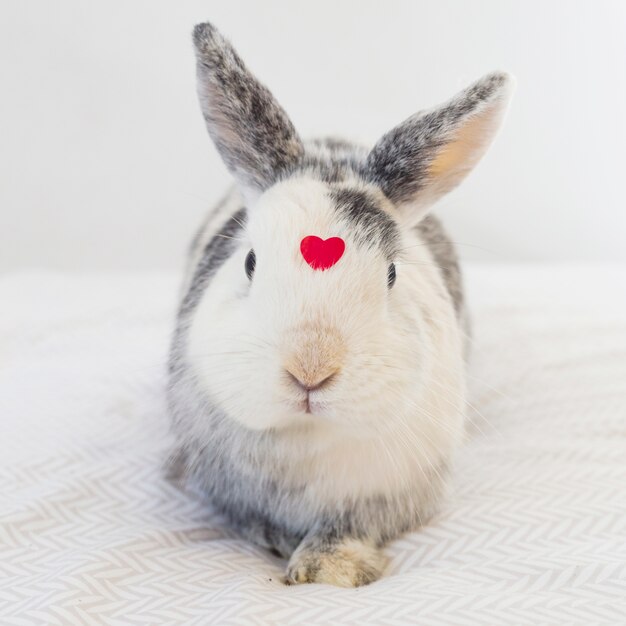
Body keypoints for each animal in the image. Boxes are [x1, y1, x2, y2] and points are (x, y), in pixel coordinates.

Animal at [167, 20, 512, 584]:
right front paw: (284, 544)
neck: (309, 434)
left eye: (392, 273)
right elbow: (251, 522)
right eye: (250, 262)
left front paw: (330, 568)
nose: (311, 369)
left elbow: (350, 528)